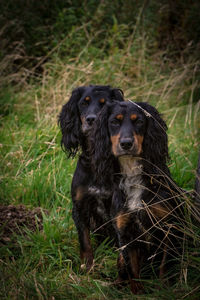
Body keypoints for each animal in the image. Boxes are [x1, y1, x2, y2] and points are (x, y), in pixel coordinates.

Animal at [58, 85, 123, 272]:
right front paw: (86, 267)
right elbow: (85, 241)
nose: (91, 119)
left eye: (104, 104)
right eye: (83, 103)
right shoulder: (80, 206)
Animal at [91, 101, 187, 292]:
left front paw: (164, 289)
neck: (133, 174)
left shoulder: (168, 226)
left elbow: (165, 264)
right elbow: (132, 269)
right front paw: (137, 292)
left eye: (139, 121)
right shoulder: (126, 232)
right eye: (114, 122)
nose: (126, 143)